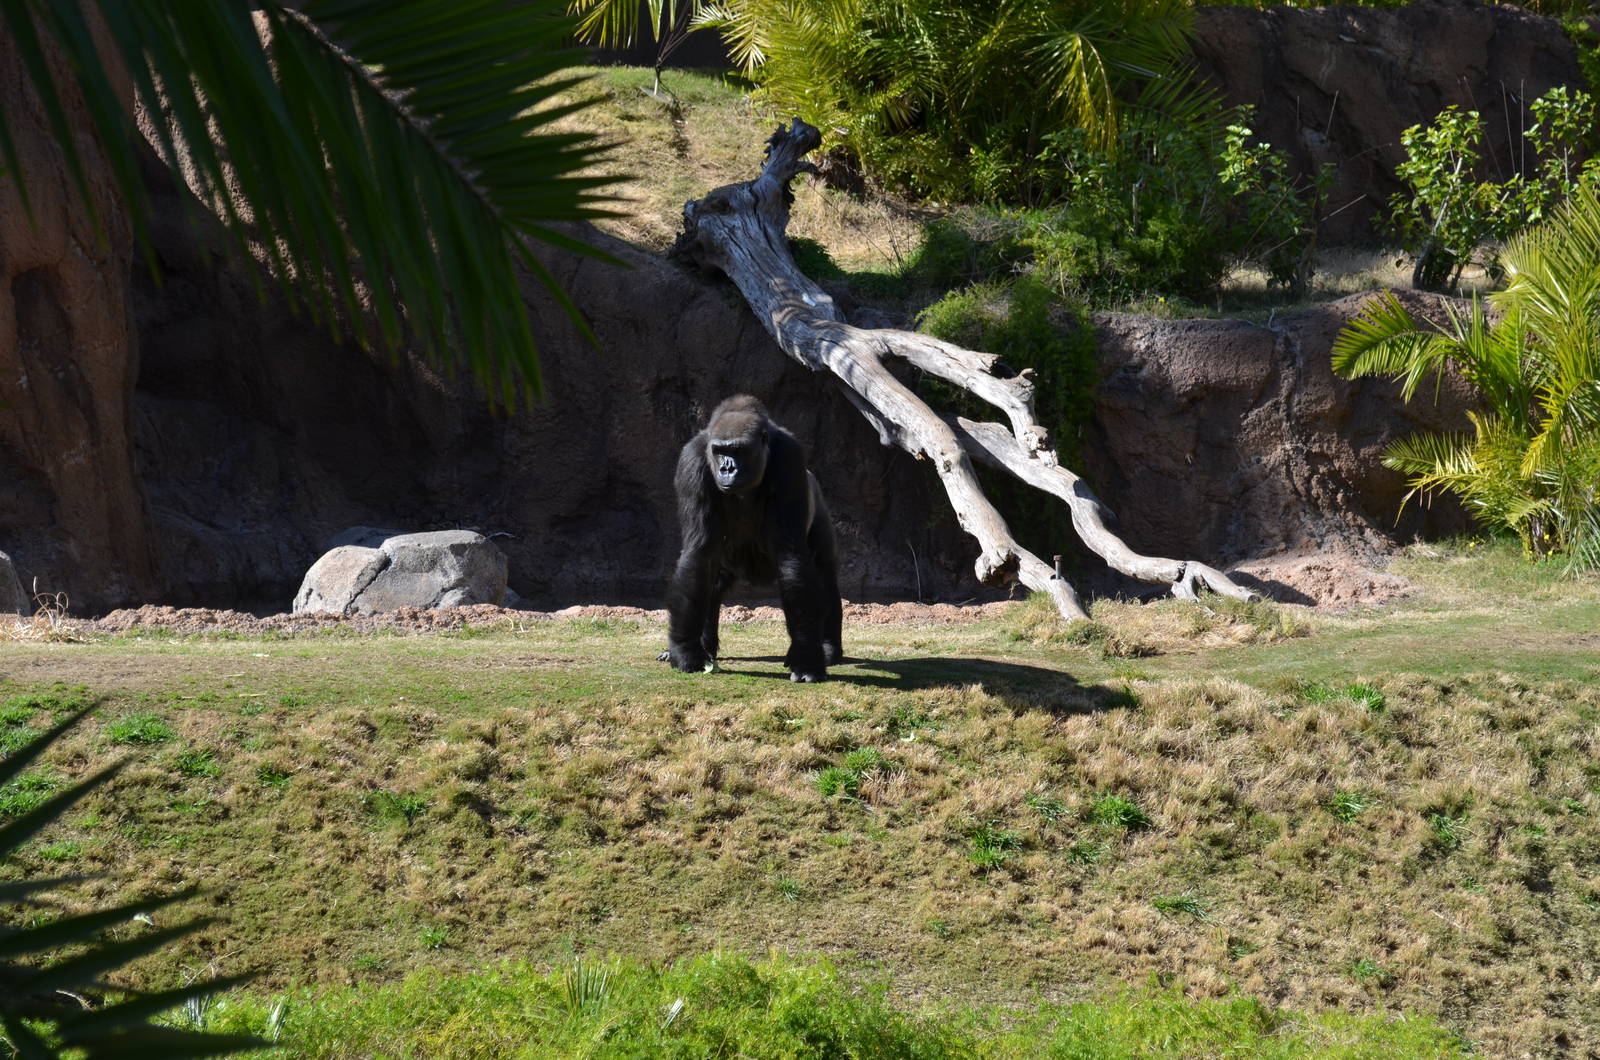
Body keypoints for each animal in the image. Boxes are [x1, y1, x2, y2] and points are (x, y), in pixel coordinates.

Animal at [659, 395, 843, 682]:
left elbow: (791, 558)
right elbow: (699, 554)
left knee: (823, 573)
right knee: (713, 583)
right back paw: (704, 646)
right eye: (720, 451)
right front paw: (685, 651)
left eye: (738, 451)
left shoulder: (790, 458)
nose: (727, 468)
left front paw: (806, 660)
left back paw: (828, 647)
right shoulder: (693, 460)